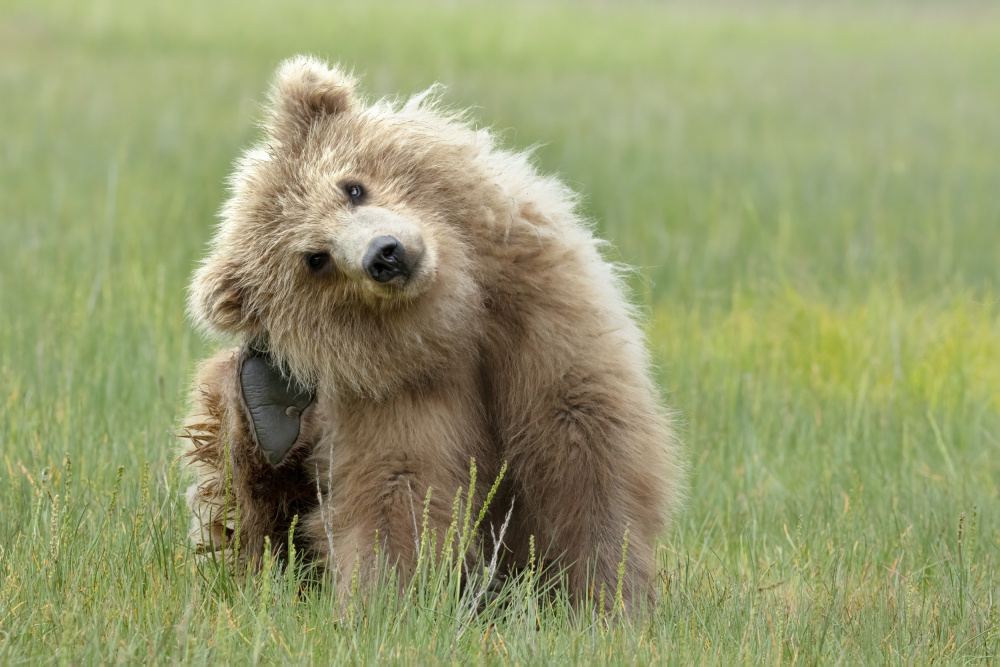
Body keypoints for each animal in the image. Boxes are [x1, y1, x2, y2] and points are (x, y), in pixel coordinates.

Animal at [180, 57, 684, 612]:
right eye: (316, 259)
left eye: (351, 187)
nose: (385, 254)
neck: (455, 310)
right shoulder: (394, 389)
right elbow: (398, 486)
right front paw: (381, 604)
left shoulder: (540, 314)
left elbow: (581, 435)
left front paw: (605, 598)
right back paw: (265, 401)